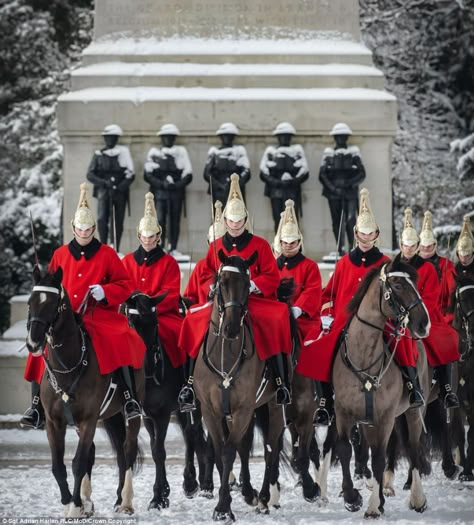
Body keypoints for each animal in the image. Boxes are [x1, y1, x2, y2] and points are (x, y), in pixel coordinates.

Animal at [25, 266, 143, 516]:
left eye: (53, 303)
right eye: (30, 302)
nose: (33, 343)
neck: (68, 365)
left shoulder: (88, 419)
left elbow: (78, 463)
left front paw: (74, 505)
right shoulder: (55, 422)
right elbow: (59, 465)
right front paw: (72, 501)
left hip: (131, 411)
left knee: (127, 449)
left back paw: (125, 501)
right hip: (104, 417)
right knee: (111, 452)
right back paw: (98, 500)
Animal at [124, 290, 209, 508]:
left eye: (155, 322)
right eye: (131, 322)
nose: (147, 365)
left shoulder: (161, 414)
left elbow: (159, 451)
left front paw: (158, 496)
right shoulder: (147, 416)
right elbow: (155, 450)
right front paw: (161, 493)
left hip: (195, 403)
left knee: (192, 434)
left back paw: (195, 482)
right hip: (180, 408)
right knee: (193, 435)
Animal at [193, 250, 286, 520]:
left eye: (247, 284)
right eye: (222, 282)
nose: (232, 328)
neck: (225, 352)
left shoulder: (243, 409)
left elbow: (228, 452)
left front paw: (223, 508)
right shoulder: (211, 411)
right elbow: (222, 450)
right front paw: (230, 499)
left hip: (273, 406)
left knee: (270, 447)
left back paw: (264, 497)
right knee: (247, 447)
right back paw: (250, 492)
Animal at [328, 258, 432, 516]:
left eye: (416, 284)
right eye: (398, 285)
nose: (424, 324)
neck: (364, 354)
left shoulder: (384, 417)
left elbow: (378, 458)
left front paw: (374, 506)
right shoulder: (343, 413)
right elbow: (345, 449)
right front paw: (352, 497)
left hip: (414, 411)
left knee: (413, 448)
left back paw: (417, 498)